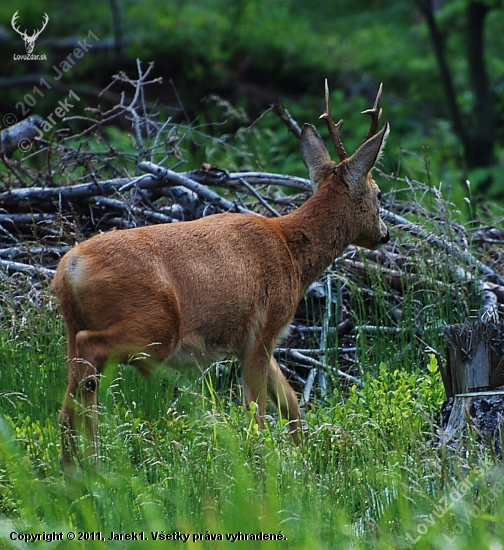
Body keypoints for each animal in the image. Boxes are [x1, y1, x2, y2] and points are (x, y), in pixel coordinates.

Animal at [52, 82, 390, 468]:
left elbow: (291, 402)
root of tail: (69, 269)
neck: (293, 254)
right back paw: (94, 461)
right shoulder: (264, 328)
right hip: (155, 327)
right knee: (89, 356)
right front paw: (265, 463)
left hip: (74, 326)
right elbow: (258, 412)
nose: (384, 235)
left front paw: (302, 456)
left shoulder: (254, 341)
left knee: (67, 402)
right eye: (379, 193)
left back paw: (75, 466)